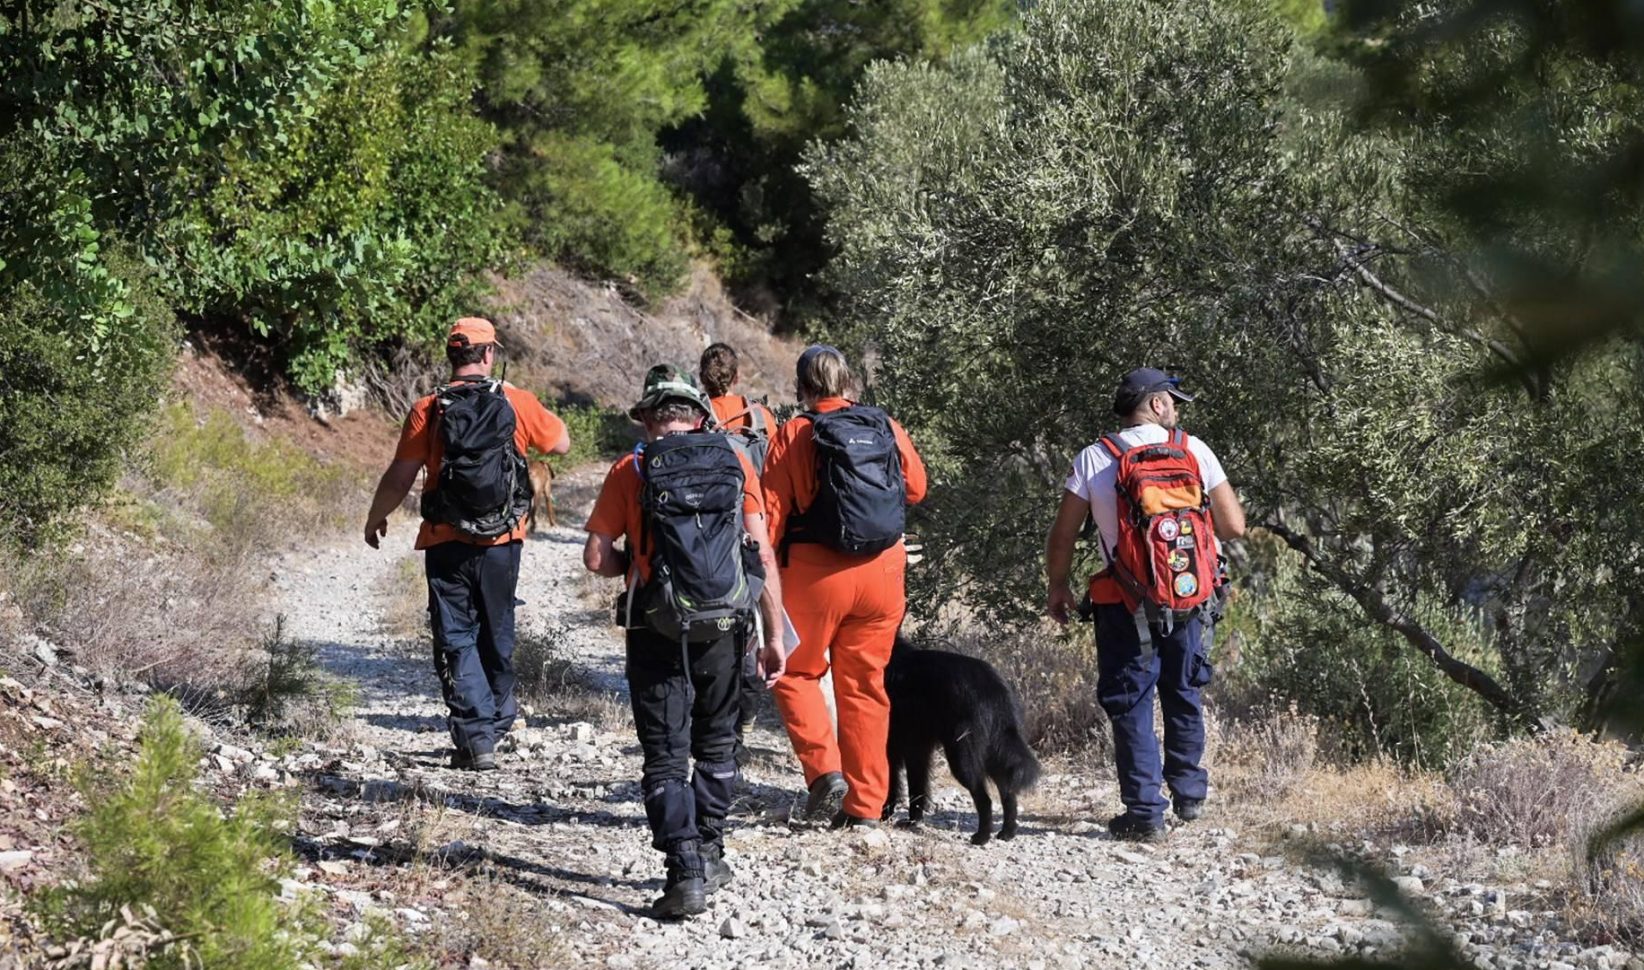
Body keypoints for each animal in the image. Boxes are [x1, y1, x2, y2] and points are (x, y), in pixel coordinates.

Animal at [887, 637, 1039, 841]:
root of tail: (994, 688)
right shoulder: (917, 748)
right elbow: (917, 788)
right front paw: (913, 822)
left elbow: (892, 786)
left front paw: (884, 815)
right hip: (994, 750)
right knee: (1008, 790)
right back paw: (1007, 833)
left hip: (962, 755)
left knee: (984, 798)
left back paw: (981, 837)